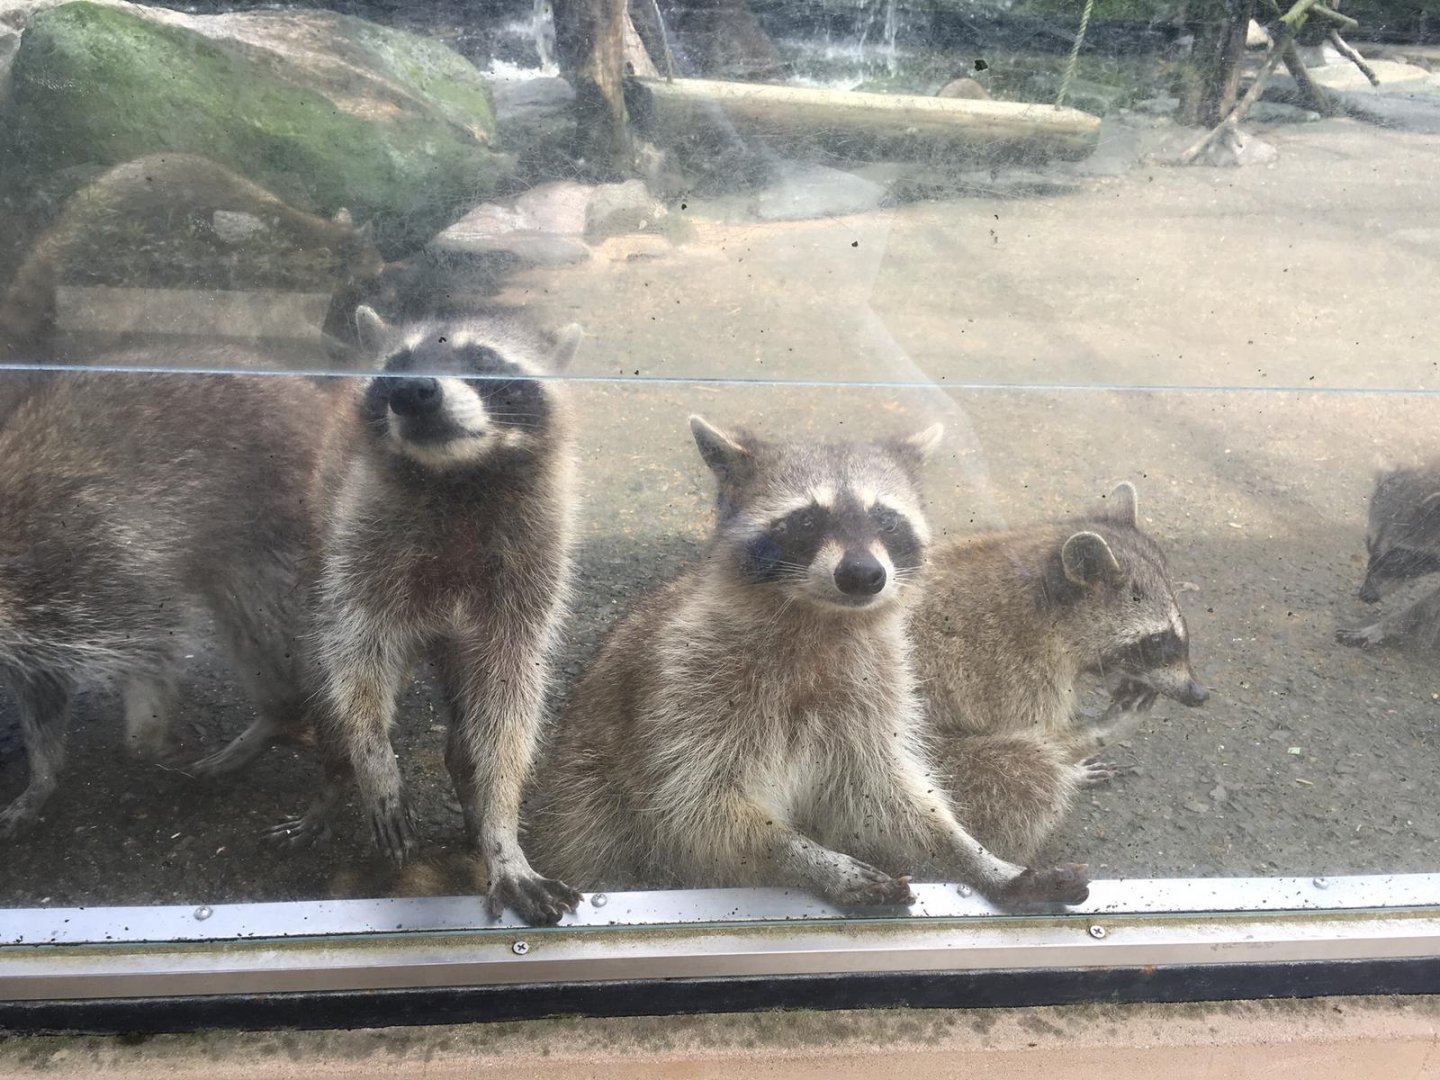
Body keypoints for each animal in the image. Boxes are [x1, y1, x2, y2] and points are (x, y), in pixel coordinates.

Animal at [0, 360, 341, 835]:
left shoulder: (92, 570)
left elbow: (153, 639)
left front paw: (147, 737)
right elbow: (40, 694)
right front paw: (42, 778)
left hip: (280, 528)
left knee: (270, 626)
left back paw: (301, 732)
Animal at [270, 306, 583, 927]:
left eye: (485, 361)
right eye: (397, 363)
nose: (412, 391)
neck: (458, 477)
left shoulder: (533, 564)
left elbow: (510, 703)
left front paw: (502, 829)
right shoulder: (361, 537)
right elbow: (356, 655)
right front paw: (372, 757)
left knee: (467, 735)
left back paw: (473, 805)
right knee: (328, 690)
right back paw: (334, 781)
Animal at [530, 417, 1090, 910]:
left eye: (886, 518)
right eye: (805, 520)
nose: (863, 574)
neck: (824, 621)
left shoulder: (875, 693)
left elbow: (883, 791)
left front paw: (975, 854)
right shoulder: (686, 685)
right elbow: (699, 807)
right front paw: (807, 857)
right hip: (585, 790)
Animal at [909, 482, 1208, 862]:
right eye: (1157, 640)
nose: (1199, 693)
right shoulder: (1016, 668)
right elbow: (1045, 738)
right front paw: (1094, 736)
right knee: (1028, 773)